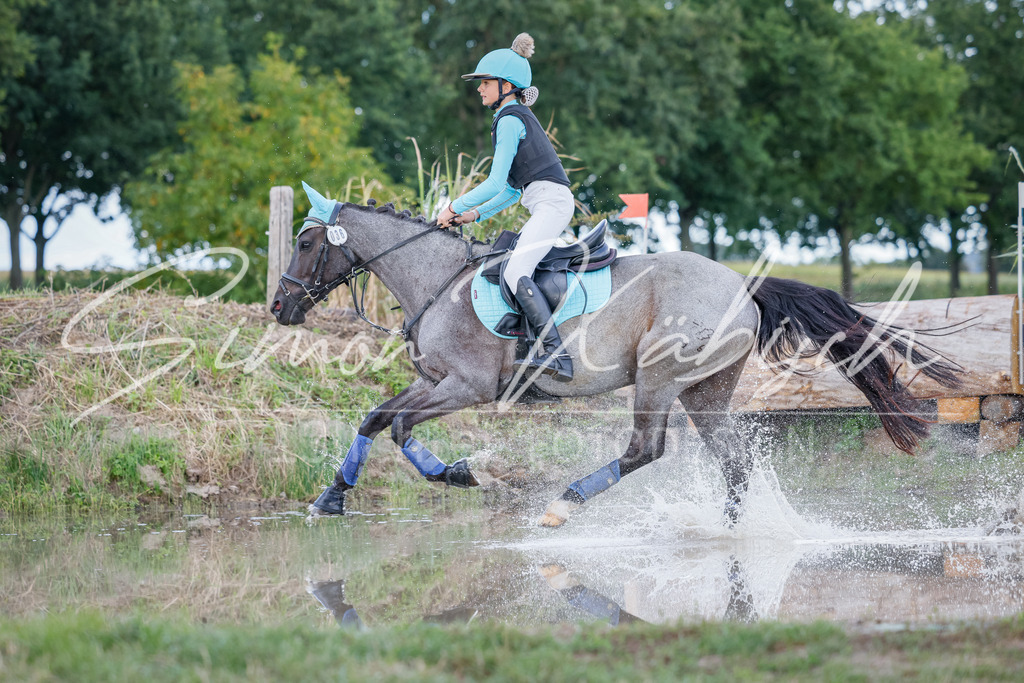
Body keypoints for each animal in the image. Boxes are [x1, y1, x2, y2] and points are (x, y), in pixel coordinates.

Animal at [271, 182, 960, 527]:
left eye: (304, 242)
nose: (279, 307)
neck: (438, 280)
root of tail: (743, 285)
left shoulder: (467, 386)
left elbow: (401, 428)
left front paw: (464, 474)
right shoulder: (436, 381)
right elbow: (377, 418)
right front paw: (330, 499)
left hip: (658, 377)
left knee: (644, 450)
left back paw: (561, 507)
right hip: (705, 391)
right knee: (732, 461)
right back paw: (730, 532)